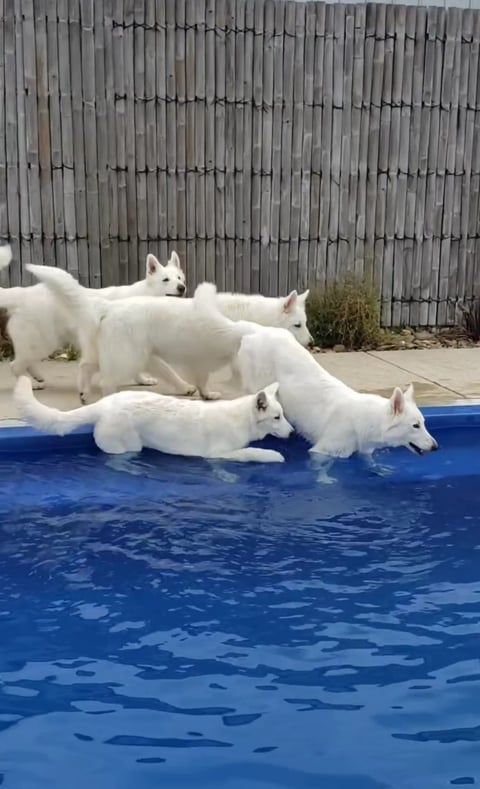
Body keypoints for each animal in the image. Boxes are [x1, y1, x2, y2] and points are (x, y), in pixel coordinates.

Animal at [0, 243, 187, 384]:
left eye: (179, 278)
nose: (182, 287)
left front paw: (142, 380)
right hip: (42, 344)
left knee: (24, 363)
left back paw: (37, 378)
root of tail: (23, 293)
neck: (146, 296)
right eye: (165, 280)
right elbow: (166, 370)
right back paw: (30, 384)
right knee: (15, 365)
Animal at [14, 376, 292, 462]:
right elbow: (252, 452)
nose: (291, 433)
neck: (242, 417)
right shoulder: (218, 455)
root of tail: (104, 404)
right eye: (276, 417)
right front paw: (273, 455)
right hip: (128, 445)